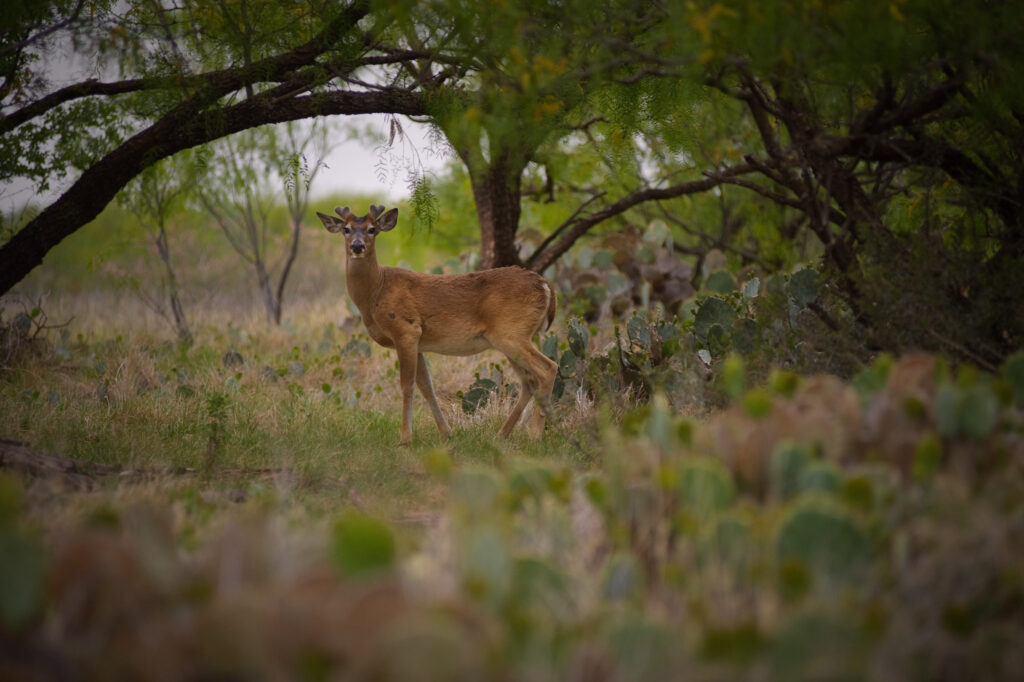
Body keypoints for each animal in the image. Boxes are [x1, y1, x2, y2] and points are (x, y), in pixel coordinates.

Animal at [317, 201, 561, 446]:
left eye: (371, 229)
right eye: (346, 229)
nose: (357, 246)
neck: (376, 291)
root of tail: (545, 285)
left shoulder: (406, 329)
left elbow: (407, 385)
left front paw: (405, 439)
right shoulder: (417, 342)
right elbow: (427, 387)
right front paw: (446, 433)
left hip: (512, 333)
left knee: (548, 368)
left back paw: (534, 435)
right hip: (509, 339)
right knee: (528, 381)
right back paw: (501, 435)